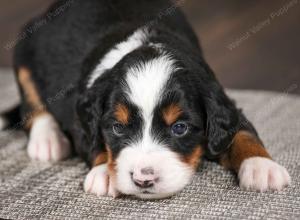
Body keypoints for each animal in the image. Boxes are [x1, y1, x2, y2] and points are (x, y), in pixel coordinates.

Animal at [9, 0, 290, 199]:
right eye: (117, 127)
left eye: (180, 128)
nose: (143, 179)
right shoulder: (80, 115)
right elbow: (93, 142)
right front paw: (104, 174)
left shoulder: (223, 102)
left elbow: (243, 133)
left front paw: (262, 167)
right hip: (25, 47)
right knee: (31, 100)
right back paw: (47, 140)